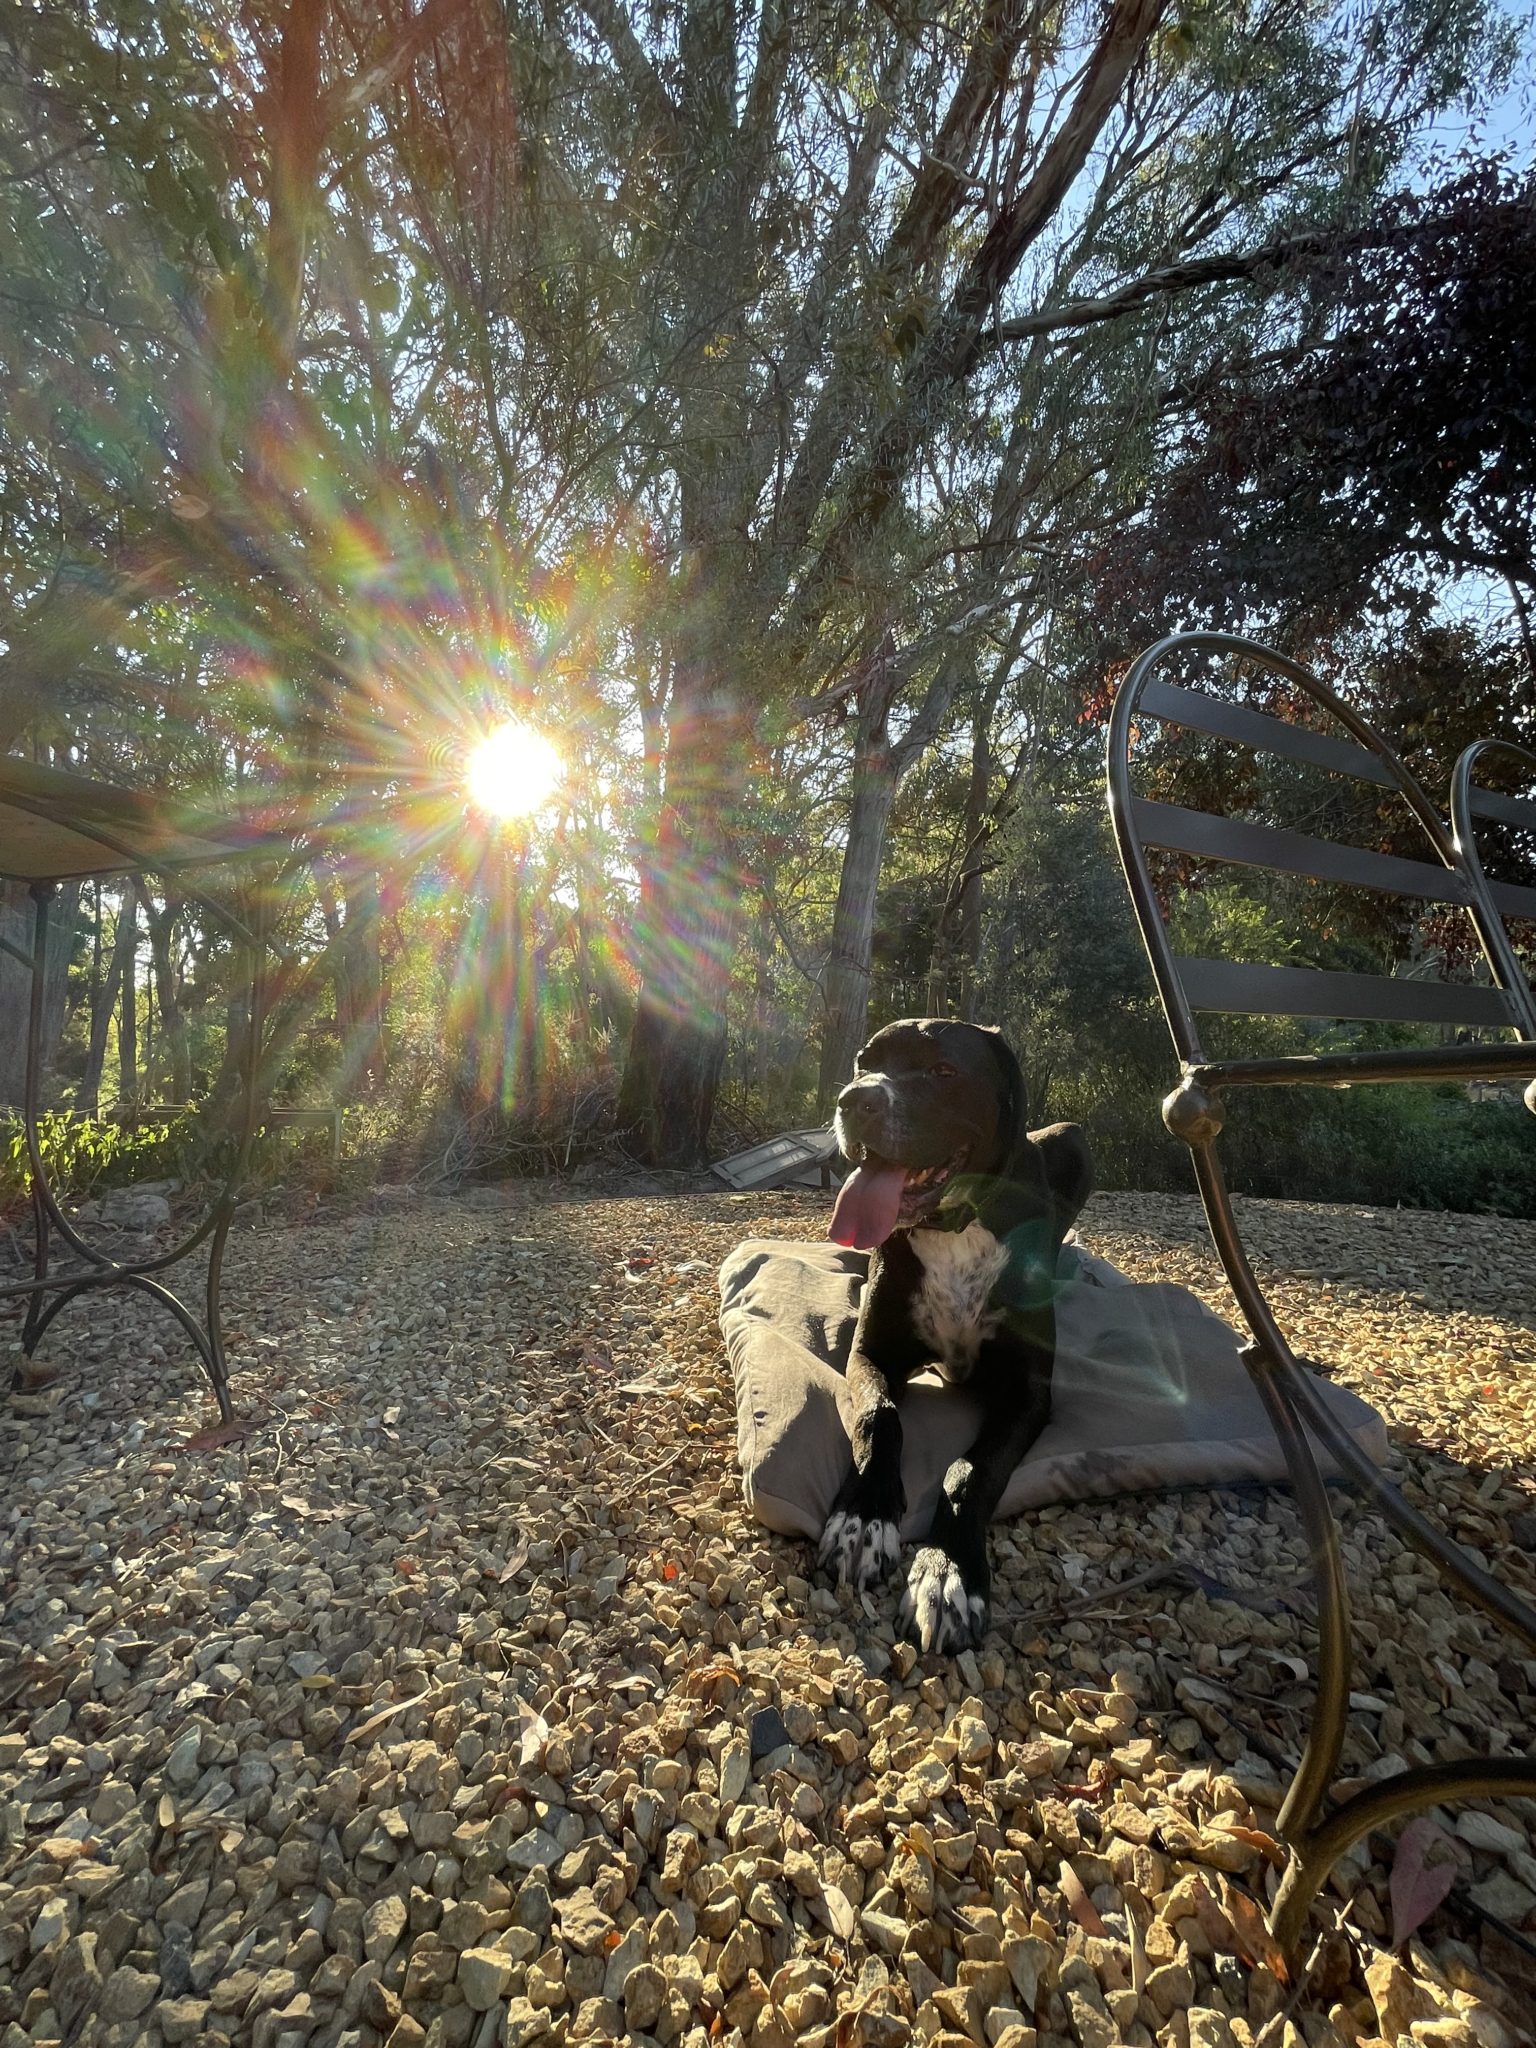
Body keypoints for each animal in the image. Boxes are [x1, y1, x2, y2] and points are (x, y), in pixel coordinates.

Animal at [819, 1015, 1097, 1654]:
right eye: (864, 1062)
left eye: (943, 1071)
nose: (855, 1100)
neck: (955, 1225)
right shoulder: (870, 1354)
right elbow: (879, 1417)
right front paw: (862, 1520)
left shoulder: (1027, 1391)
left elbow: (970, 1470)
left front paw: (946, 1572)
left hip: (1073, 1139)